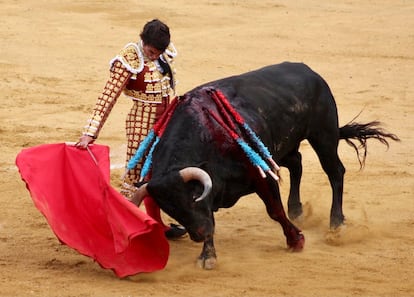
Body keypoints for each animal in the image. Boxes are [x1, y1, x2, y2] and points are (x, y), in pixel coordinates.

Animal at [133, 61, 398, 268]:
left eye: (193, 197)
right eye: (170, 208)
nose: (198, 235)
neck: (207, 136)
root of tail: (311, 72)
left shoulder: (262, 175)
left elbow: (274, 210)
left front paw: (296, 241)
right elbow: (212, 219)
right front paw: (208, 256)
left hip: (323, 135)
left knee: (335, 172)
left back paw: (336, 223)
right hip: (282, 148)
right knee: (297, 163)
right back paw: (297, 210)